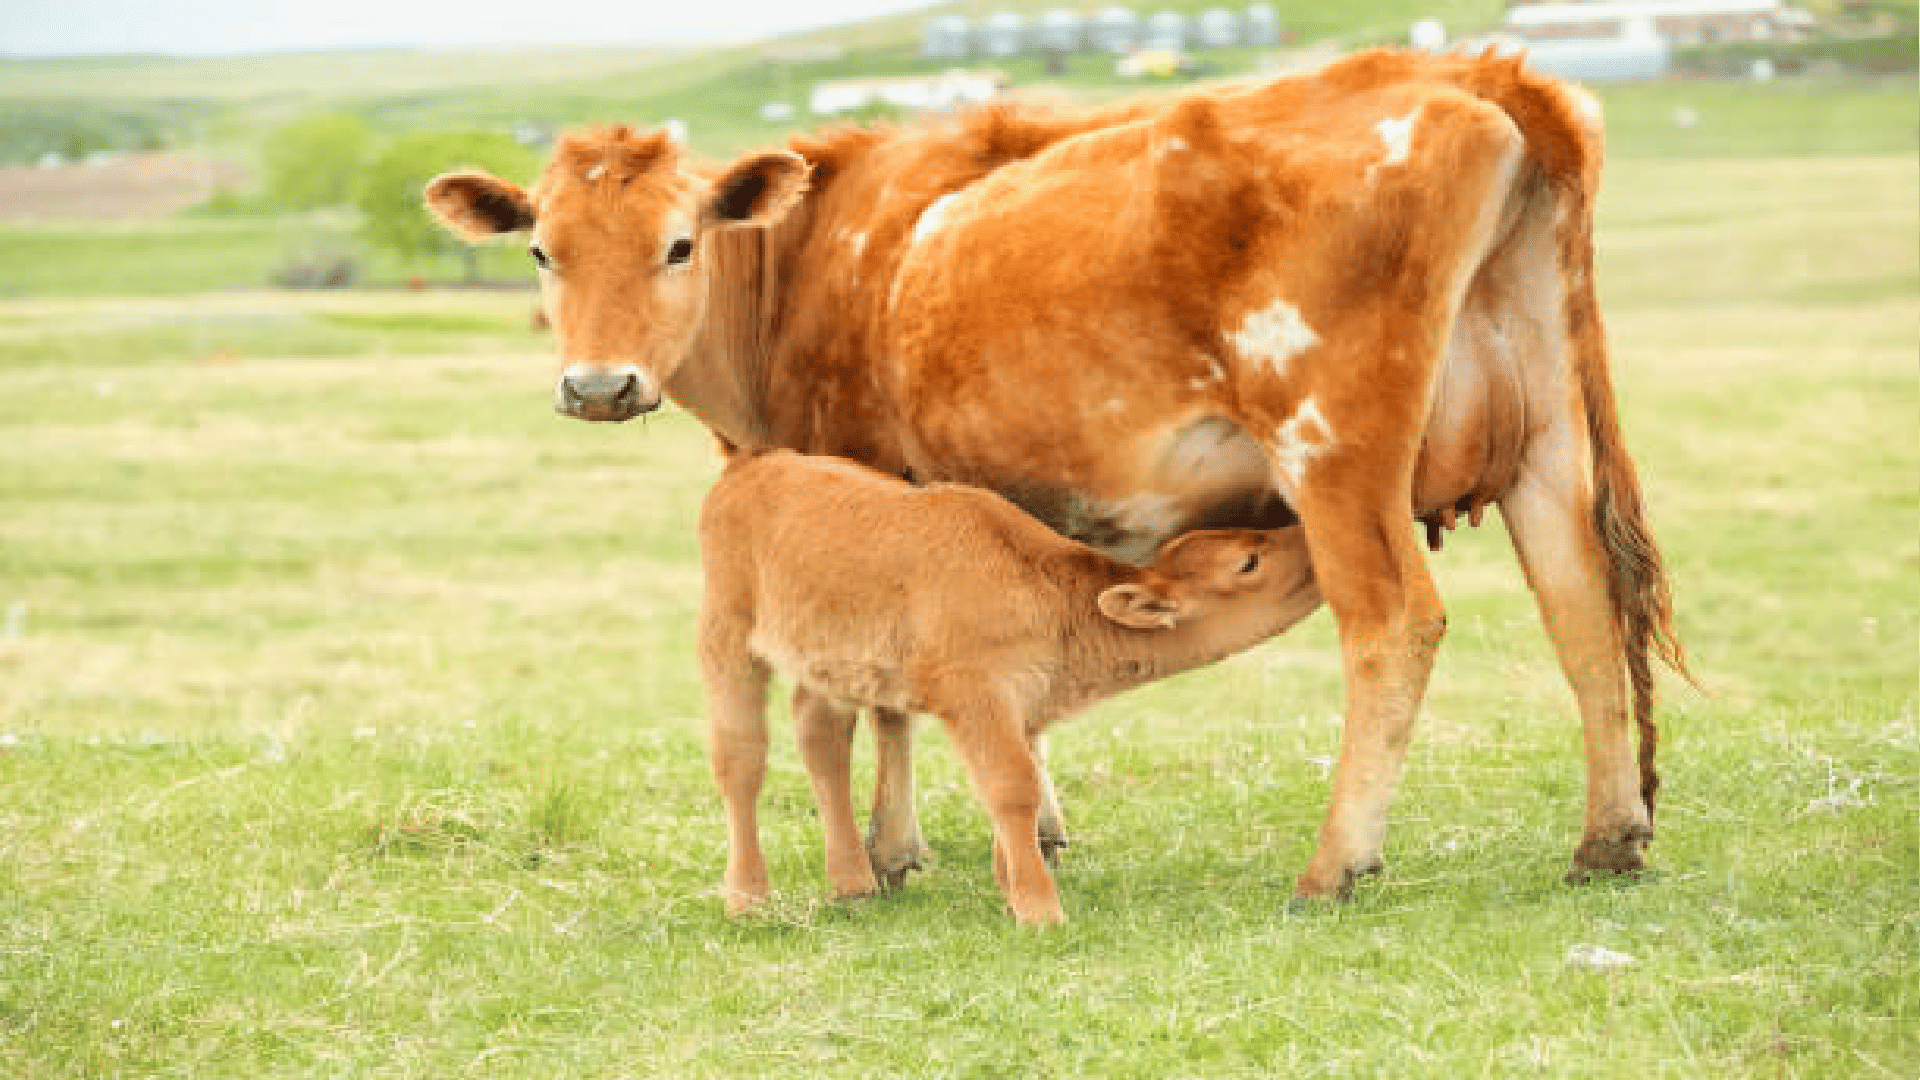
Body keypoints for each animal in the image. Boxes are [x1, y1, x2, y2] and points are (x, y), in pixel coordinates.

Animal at [701, 448, 1321, 924]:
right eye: (1248, 562)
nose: (1311, 544)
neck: (1048, 594)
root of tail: (751, 468)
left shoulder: (1021, 708)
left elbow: (1014, 787)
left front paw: (1010, 891)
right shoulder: (975, 695)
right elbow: (1013, 786)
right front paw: (1041, 910)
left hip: (826, 666)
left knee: (822, 741)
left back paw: (853, 882)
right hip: (727, 639)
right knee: (741, 761)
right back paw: (748, 897)